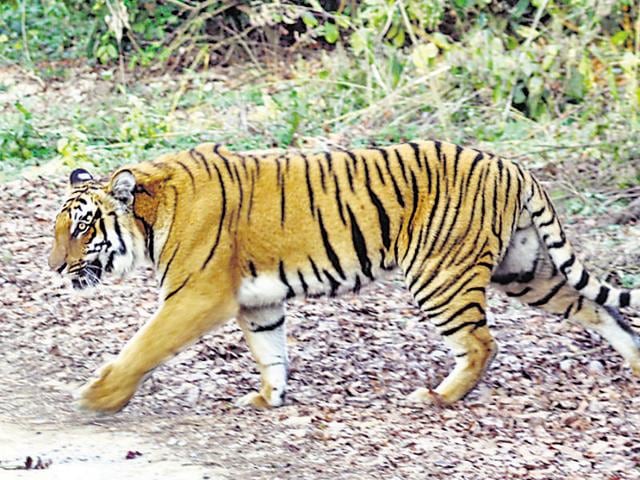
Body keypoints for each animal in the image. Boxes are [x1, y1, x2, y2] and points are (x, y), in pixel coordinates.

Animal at [48, 140, 640, 413]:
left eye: (81, 228)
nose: (52, 267)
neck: (151, 213)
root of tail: (510, 164)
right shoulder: (259, 303)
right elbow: (271, 352)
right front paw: (268, 399)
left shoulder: (195, 296)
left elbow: (142, 346)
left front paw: (98, 396)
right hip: (523, 269)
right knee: (596, 306)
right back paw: (635, 362)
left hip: (441, 276)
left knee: (480, 342)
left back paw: (437, 397)